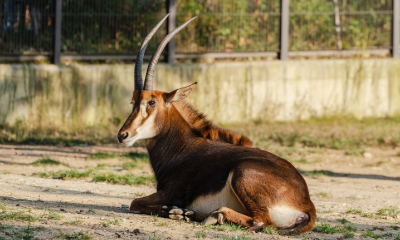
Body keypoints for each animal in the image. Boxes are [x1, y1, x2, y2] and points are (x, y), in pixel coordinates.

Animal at [117, 13, 318, 234]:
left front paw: (170, 210)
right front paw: (178, 212)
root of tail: (307, 204)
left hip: (243, 174)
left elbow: (135, 202)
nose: (123, 135)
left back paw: (214, 215)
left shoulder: (170, 193)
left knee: (262, 221)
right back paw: (192, 214)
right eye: (132, 102)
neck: (183, 148)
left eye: (151, 102)